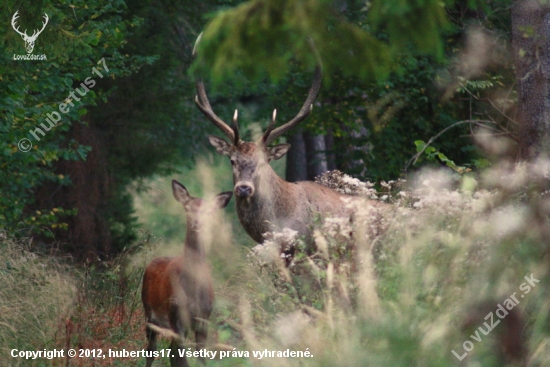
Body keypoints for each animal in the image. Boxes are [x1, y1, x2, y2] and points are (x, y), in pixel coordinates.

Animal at [142, 182, 233, 367]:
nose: (197, 223)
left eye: (209, 211)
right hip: (149, 312)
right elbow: (181, 359)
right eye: (187, 208)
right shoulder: (177, 315)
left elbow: (201, 357)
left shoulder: (204, 317)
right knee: (151, 350)